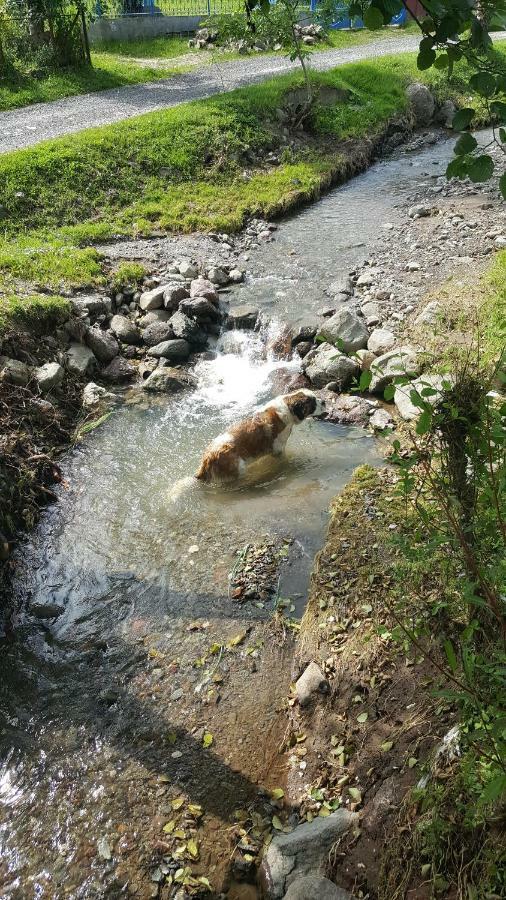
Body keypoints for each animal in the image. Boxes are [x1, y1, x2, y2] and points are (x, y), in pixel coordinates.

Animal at [194, 388, 324, 482]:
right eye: (313, 402)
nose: (324, 401)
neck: (288, 409)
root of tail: (207, 458)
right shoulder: (278, 451)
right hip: (238, 468)